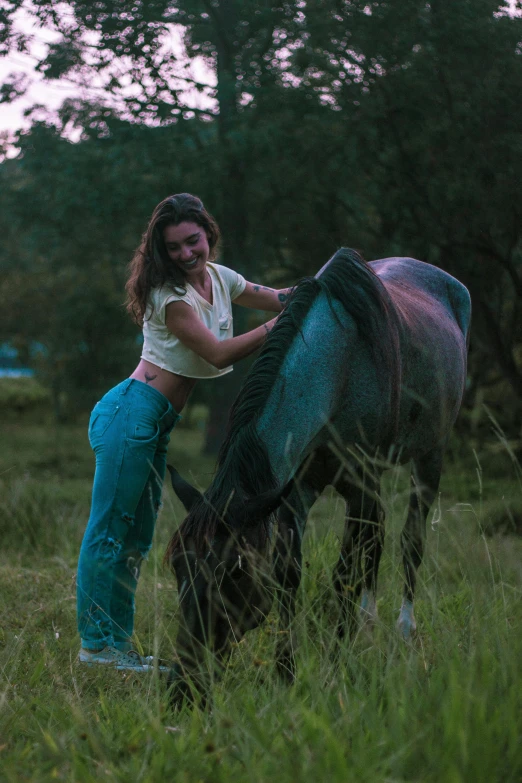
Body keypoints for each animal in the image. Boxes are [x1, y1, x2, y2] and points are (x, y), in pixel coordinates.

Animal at [164, 251, 472, 704]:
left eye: (233, 573)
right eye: (177, 566)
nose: (184, 685)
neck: (340, 366)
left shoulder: (360, 482)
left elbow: (344, 575)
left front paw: (335, 664)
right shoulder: (294, 491)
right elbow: (290, 575)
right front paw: (285, 672)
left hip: (430, 455)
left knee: (408, 542)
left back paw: (402, 630)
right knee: (376, 541)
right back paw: (368, 626)